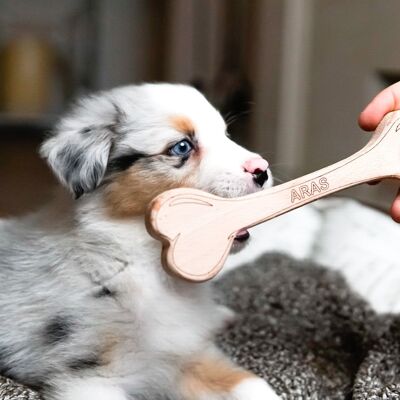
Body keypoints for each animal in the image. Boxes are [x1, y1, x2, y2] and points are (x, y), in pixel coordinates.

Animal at [0, 83, 278, 398]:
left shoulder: (182, 353)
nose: (262, 169)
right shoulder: (91, 379)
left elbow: (251, 383)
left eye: (225, 134)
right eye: (182, 147)